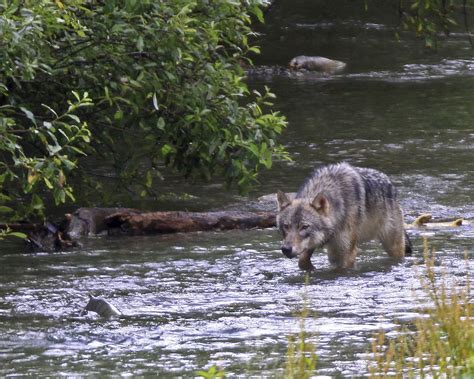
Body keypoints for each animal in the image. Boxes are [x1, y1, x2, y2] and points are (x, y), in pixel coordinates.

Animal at [276, 162, 412, 272]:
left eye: (304, 227)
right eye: (286, 226)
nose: (286, 249)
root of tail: (391, 185)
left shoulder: (347, 252)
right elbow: (302, 261)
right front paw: (311, 269)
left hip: (393, 246)